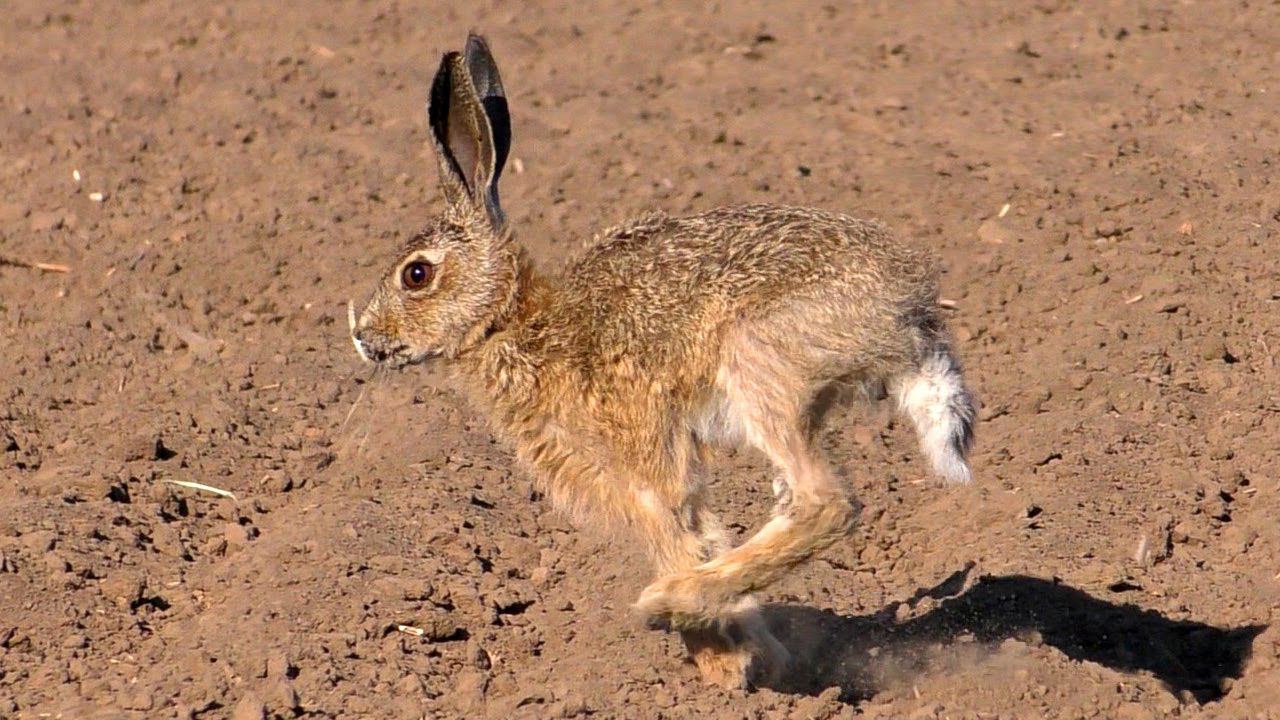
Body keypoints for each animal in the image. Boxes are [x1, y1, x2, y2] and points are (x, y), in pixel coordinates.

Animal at [351, 33, 976, 689]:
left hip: (759, 365)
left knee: (825, 504)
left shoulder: (644, 468)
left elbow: (676, 533)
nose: (364, 338)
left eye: (416, 275)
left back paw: (665, 603)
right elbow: (704, 536)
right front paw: (753, 657)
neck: (516, 323)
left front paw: (722, 666)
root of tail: (909, 313)